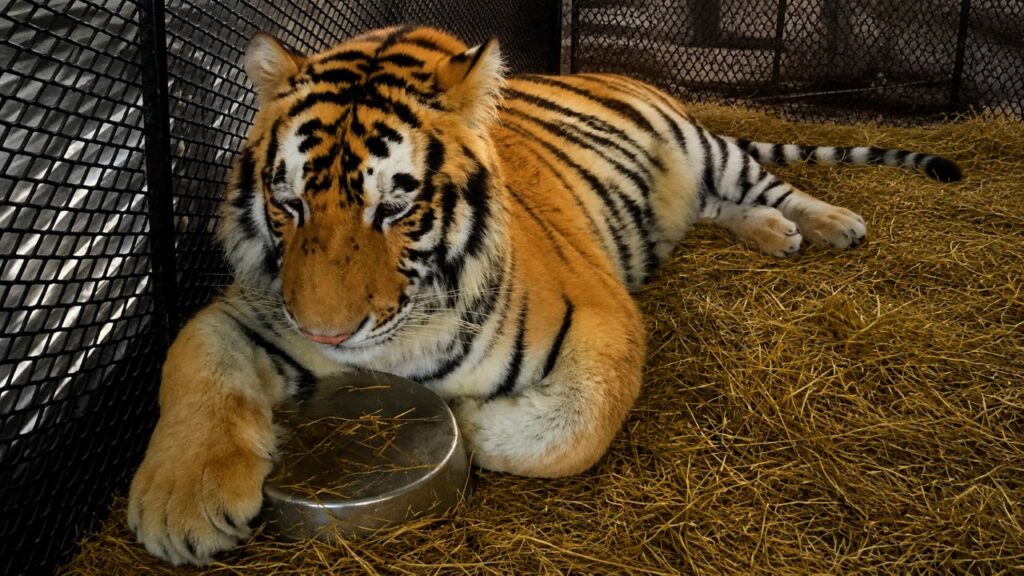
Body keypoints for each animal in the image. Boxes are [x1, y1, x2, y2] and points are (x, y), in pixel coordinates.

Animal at [126, 25, 962, 565]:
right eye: (289, 204)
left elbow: (571, 427)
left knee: (770, 184)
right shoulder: (252, 310)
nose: (328, 335)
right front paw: (178, 509)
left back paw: (829, 223)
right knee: (719, 208)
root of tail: (608, 72)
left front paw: (468, 423)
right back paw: (771, 234)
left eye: (393, 207)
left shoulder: (603, 320)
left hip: (712, 150)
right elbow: (193, 365)